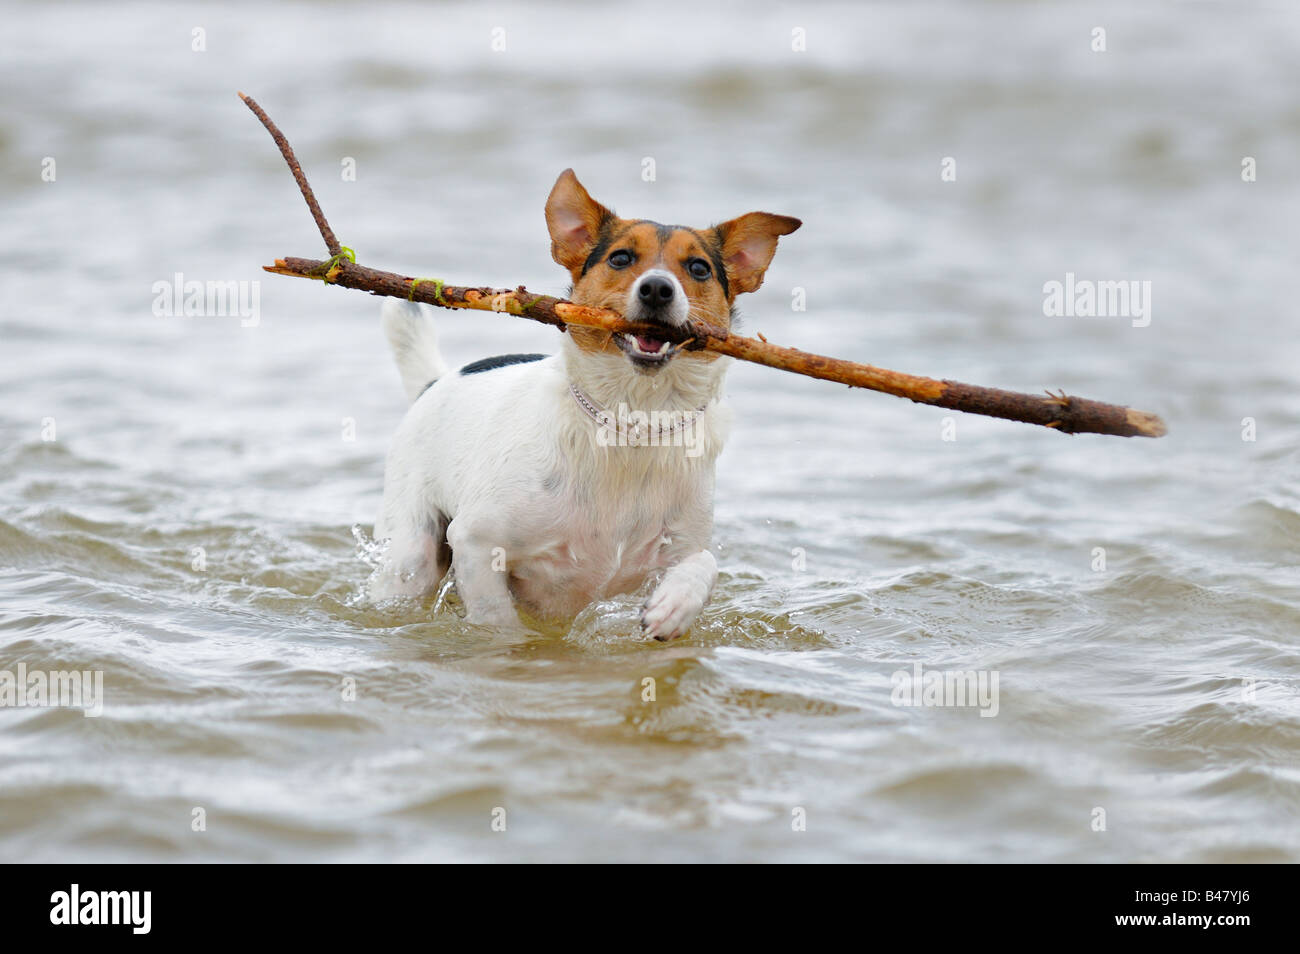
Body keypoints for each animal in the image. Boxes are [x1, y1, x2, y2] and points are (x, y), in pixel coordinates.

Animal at [374, 170, 800, 642]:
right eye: (620, 258)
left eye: (698, 268)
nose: (656, 288)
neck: (633, 424)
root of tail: (436, 380)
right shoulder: (475, 540)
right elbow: (496, 616)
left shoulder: (680, 544)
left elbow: (705, 563)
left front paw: (675, 605)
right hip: (412, 553)